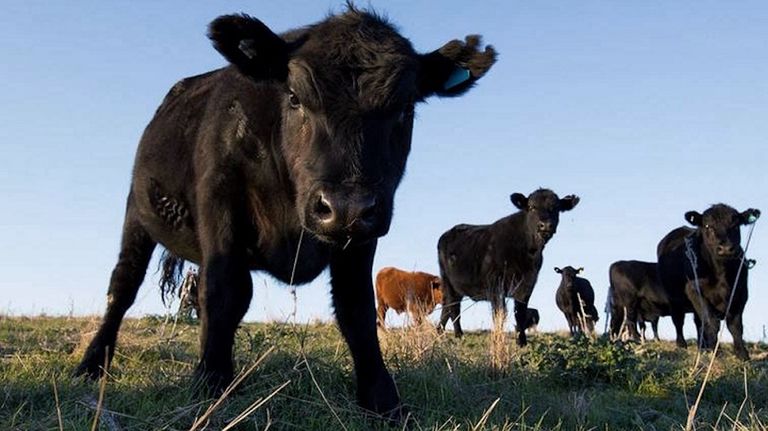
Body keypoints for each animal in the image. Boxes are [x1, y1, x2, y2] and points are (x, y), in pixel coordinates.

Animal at [72, 6, 496, 419]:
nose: (344, 206)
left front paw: (383, 398)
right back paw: (92, 365)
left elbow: (356, 309)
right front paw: (210, 383)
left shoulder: (363, 233)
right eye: (294, 97)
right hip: (136, 214)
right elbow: (225, 291)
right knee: (122, 287)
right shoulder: (220, 201)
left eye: (405, 109)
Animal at [437, 189, 579, 346]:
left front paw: (522, 342)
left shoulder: (527, 284)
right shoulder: (495, 285)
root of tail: (448, 233)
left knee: (446, 306)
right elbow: (500, 313)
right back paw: (458, 335)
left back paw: (439, 332)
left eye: (556, 208)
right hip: (448, 281)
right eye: (532, 207)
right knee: (453, 307)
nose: (545, 225)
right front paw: (498, 339)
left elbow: (520, 314)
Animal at [657, 204, 759, 360]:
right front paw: (716, 352)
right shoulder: (694, 290)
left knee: (698, 323)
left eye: (736, 225)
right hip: (673, 298)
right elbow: (712, 322)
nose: (726, 248)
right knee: (679, 320)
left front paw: (742, 354)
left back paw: (702, 347)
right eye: (707, 226)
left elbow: (735, 325)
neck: (722, 273)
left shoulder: (741, 293)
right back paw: (682, 345)